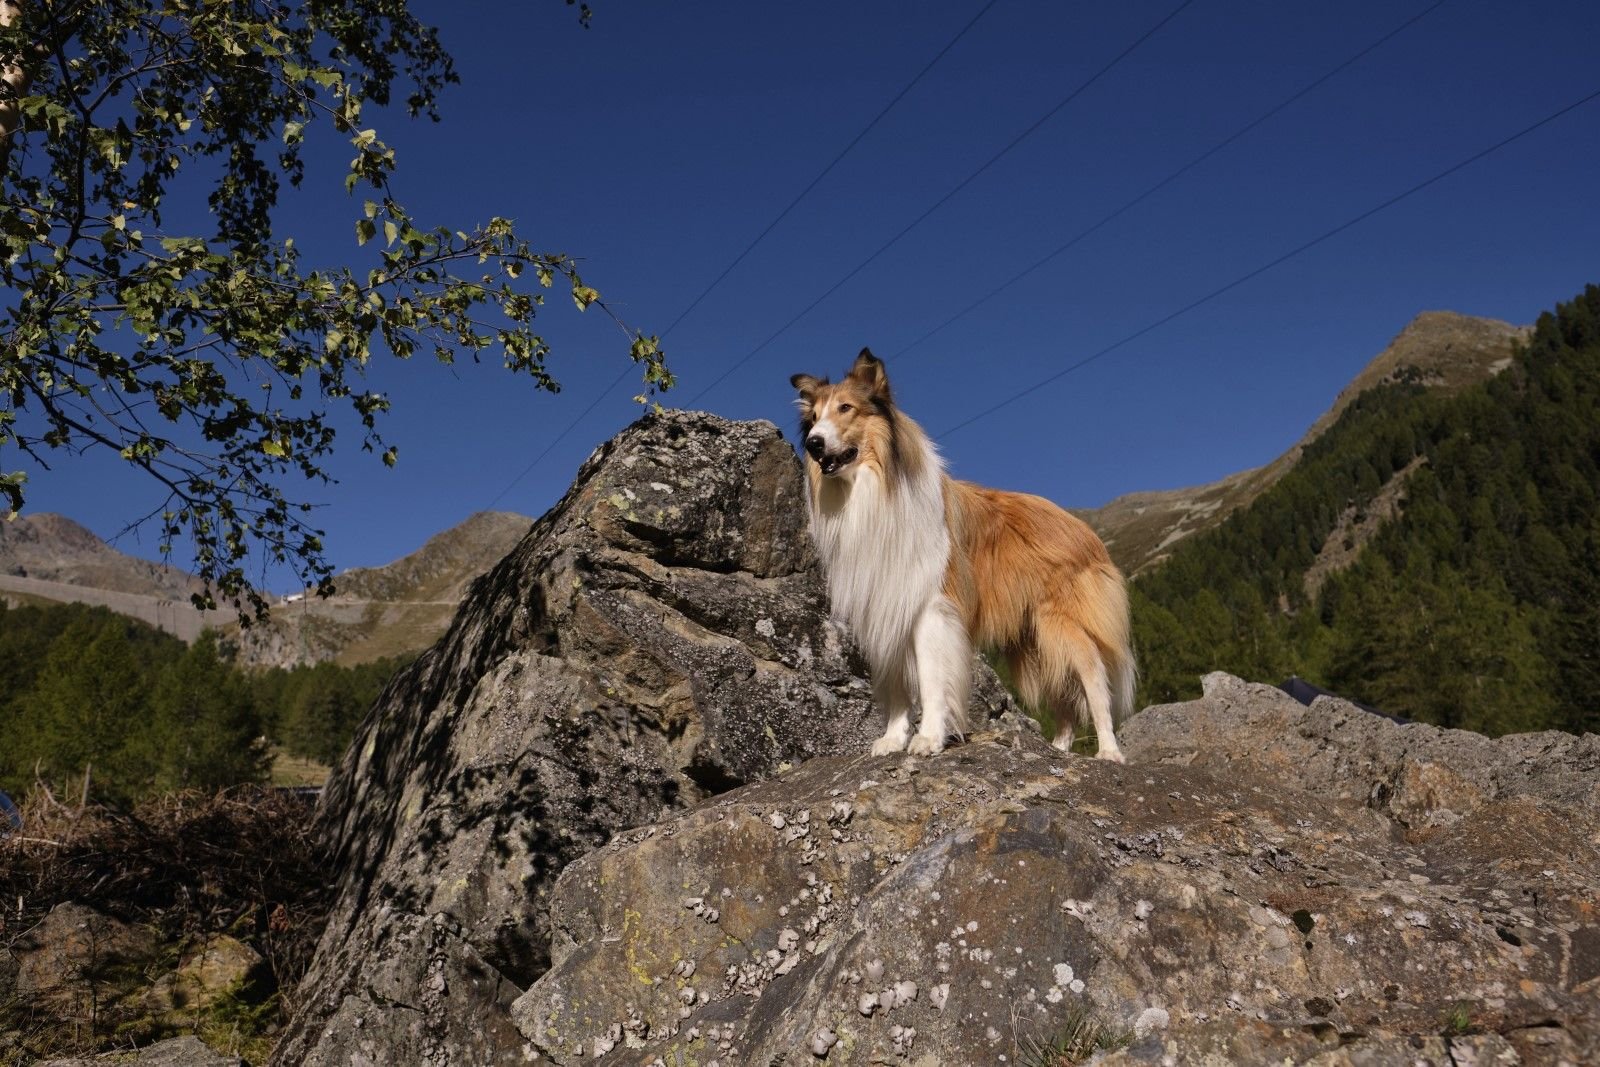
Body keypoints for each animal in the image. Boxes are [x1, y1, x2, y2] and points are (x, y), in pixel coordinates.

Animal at [793, 350, 1132, 758]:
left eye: (846, 408)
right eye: (814, 418)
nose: (813, 444)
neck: (875, 490)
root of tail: (1080, 525)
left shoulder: (930, 607)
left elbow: (931, 679)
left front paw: (928, 738)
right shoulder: (884, 606)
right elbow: (896, 686)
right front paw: (892, 739)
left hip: (1062, 626)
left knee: (1094, 681)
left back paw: (1109, 751)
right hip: (1031, 638)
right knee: (1062, 696)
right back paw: (1059, 749)